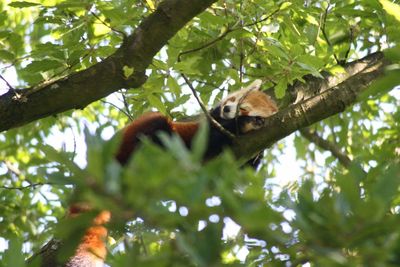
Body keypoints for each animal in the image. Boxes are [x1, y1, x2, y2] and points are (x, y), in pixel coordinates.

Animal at [30, 79, 278, 267]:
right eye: (235, 102)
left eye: (251, 112)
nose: (228, 110)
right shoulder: (210, 124)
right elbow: (211, 134)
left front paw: (257, 155)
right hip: (130, 137)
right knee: (157, 123)